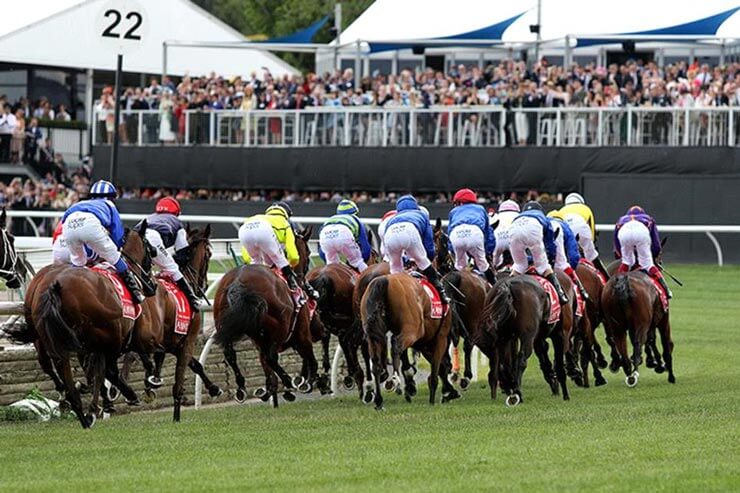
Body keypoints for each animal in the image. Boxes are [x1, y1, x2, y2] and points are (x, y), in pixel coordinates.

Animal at [31, 223, 157, 426]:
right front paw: (148, 381)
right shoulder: (127, 333)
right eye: (150, 249)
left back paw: (77, 405)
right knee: (102, 369)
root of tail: (55, 286)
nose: (152, 285)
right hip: (104, 336)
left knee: (57, 364)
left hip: (51, 337)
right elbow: (126, 361)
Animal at [131, 225, 218, 420]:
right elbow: (179, 381)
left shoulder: (174, 343)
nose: (205, 285)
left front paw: (214, 388)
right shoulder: (188, 339)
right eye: (209, 253)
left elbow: (196, 364)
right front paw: (176, 417)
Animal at [208, 225, 324, 406]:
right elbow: (309, 357)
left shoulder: (260, 341)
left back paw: (242, 388)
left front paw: (271, 389)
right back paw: (289, 381)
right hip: (280, 325)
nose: (305, 284)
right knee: (271, 357)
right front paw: (308, 381)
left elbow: (267, 365)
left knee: (231, 355)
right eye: (308, 251)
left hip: (222, 323)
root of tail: (238, 282)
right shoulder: (302, 331)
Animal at [362, 272, 460, 408]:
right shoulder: (440, 339)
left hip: (373, 335)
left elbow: (440, 367)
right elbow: (437, 370)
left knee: (376, 363)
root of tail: (383, 280)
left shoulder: (424, 344)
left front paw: (449, 392)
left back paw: (379, 400)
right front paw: (437, 397)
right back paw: (394, 380)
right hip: (412, 330)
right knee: (396, 344)